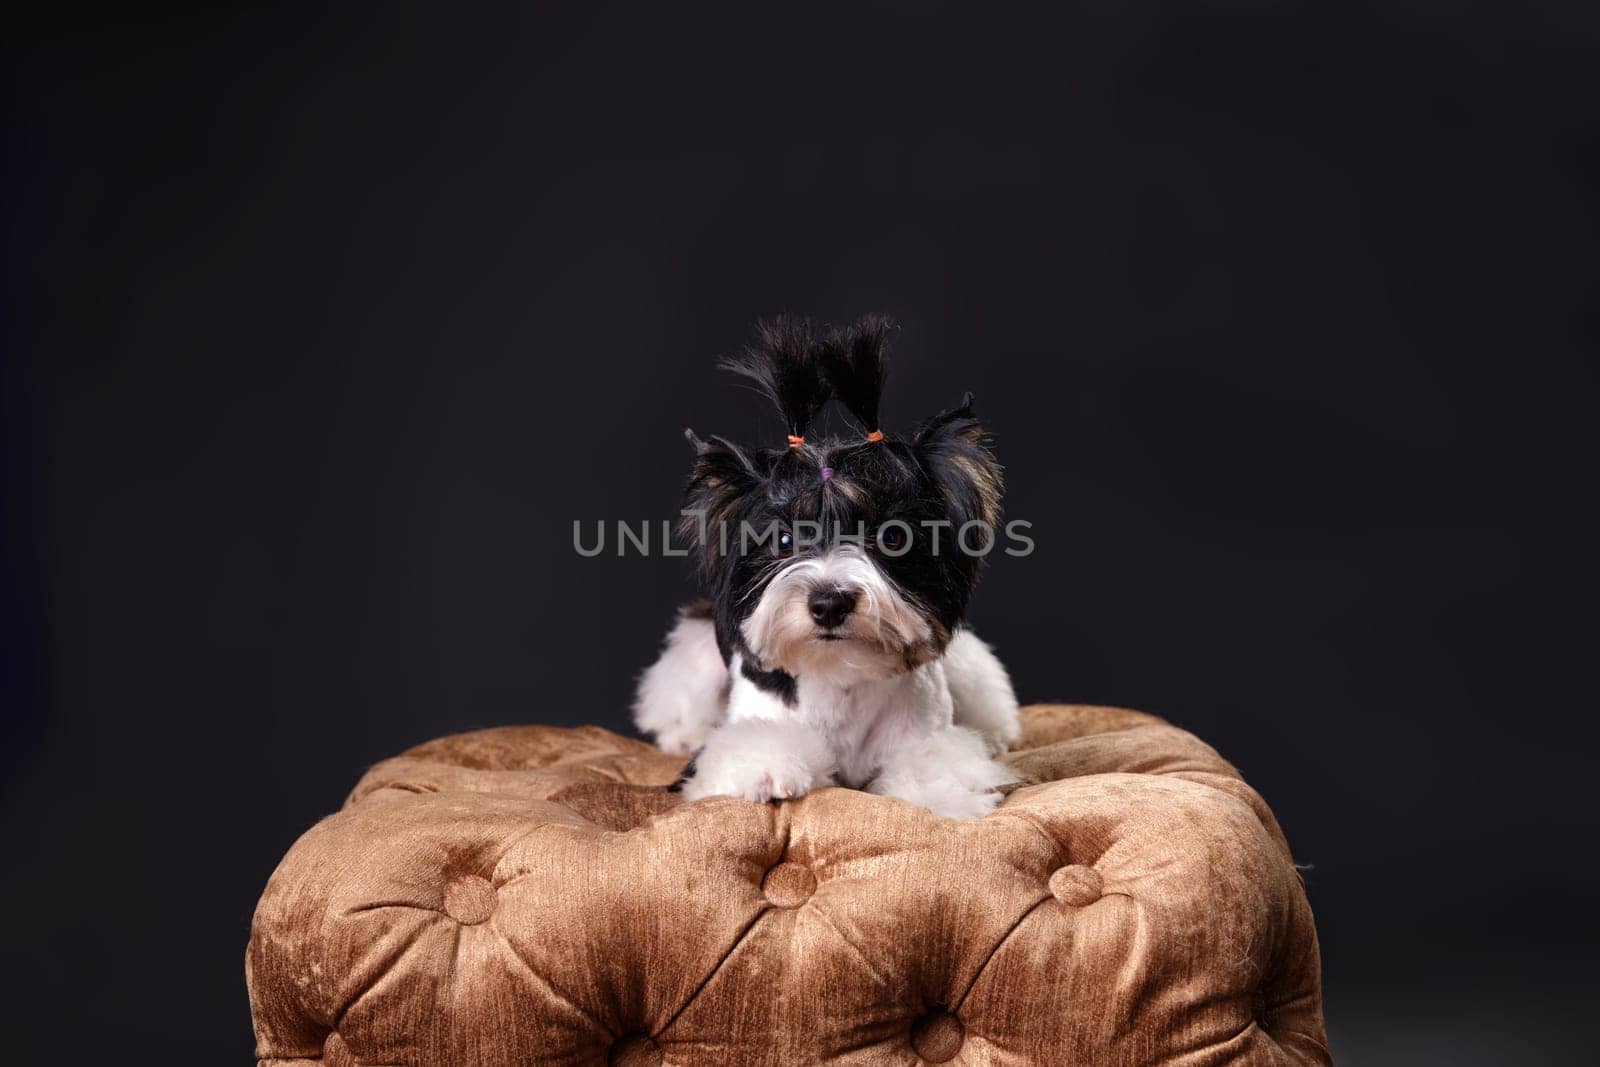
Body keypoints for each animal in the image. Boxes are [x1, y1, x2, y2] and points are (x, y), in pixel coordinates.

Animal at [630, 315, 1017, 819]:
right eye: (784, 540)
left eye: (893, 537)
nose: (830, 603)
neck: (841, 675)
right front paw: (764, 772)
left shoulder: (926, 734)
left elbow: (934, 765)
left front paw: (943, 795)